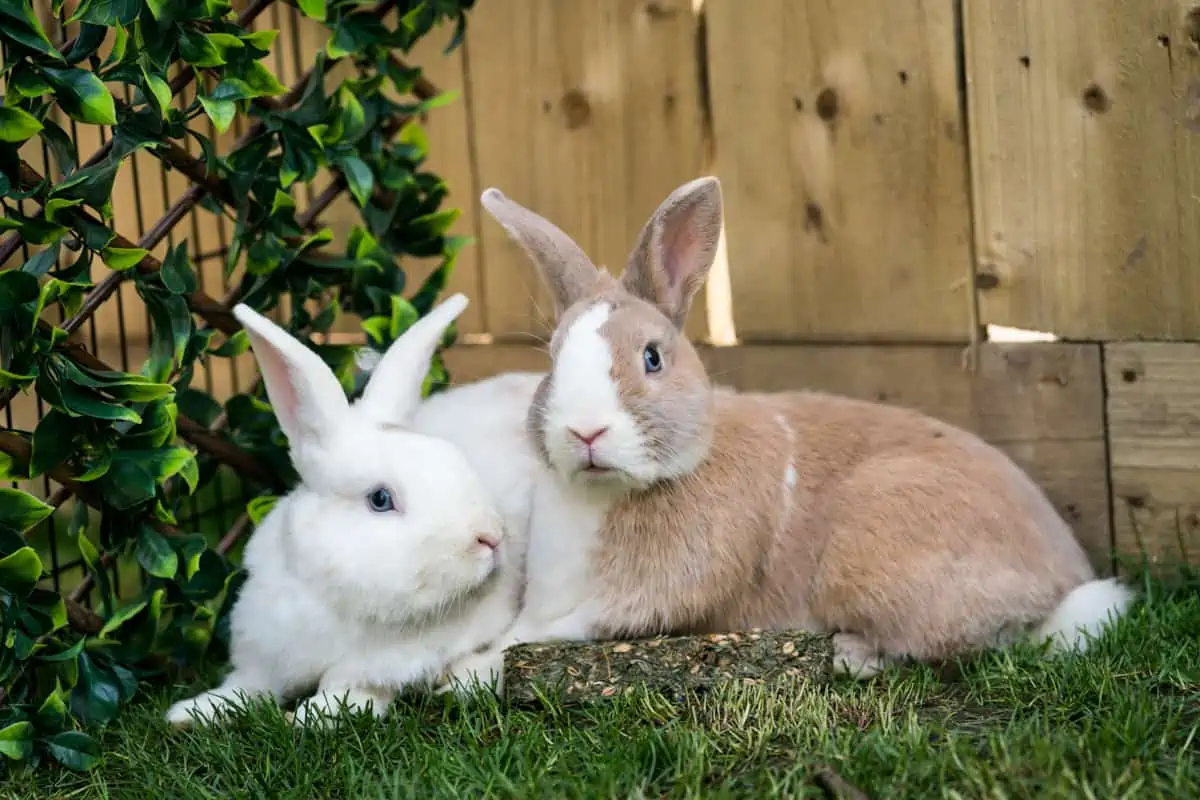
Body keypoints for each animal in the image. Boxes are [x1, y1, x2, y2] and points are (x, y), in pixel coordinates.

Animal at [166, 291, 523, 729]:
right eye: (380, 499)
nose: (490, 536)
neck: (338, 601)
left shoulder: (373, 671)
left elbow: (348, 693)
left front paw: (307, 717)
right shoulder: (264, 655)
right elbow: (244, 688)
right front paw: (188, 713)